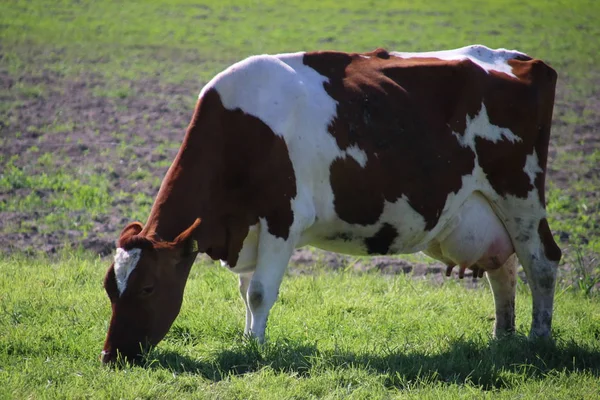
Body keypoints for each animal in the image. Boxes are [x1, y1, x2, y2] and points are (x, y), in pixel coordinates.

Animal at [99, 45, 564, 364]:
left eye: (147, 287)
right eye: (109, 287)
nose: (110, 356)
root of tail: (521, 59)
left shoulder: (282, 219)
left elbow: (260, 293)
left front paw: (254, 348)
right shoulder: (250, 228)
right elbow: (246, 291)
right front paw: (249, 340)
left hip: (520, 193)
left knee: (542, 261)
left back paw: (538, 340)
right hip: (490, 209)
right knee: (504, 268)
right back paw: (501, 338)